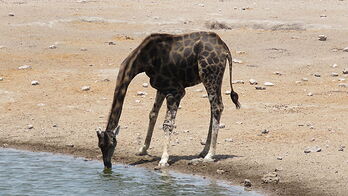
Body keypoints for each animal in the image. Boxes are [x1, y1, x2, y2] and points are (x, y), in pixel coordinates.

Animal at [96, 31, 241, 169]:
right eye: (100, 145)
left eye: (111, 144)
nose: (107, 164)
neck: (143, 59)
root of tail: (224, 49)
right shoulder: (161, 88)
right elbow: (152, 114)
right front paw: (143, 149)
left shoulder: (176, 91)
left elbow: (168, 124)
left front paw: (163, 159)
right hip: (213, 78)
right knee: (215, 108)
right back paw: (203, 151)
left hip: (209, 75)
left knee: (217, 107)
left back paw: (210, 155)